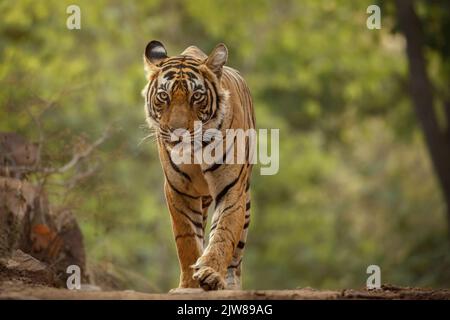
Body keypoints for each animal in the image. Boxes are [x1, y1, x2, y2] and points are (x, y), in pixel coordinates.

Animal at [142, 39, 255, 290]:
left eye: (196, 96)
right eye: (164, 96)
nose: (178, 132)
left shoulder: (232, 187)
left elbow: (224, 231)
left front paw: (211, 273)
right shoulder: (179, 190)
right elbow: (187, 239)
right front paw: (188, 285)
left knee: (237, 254)